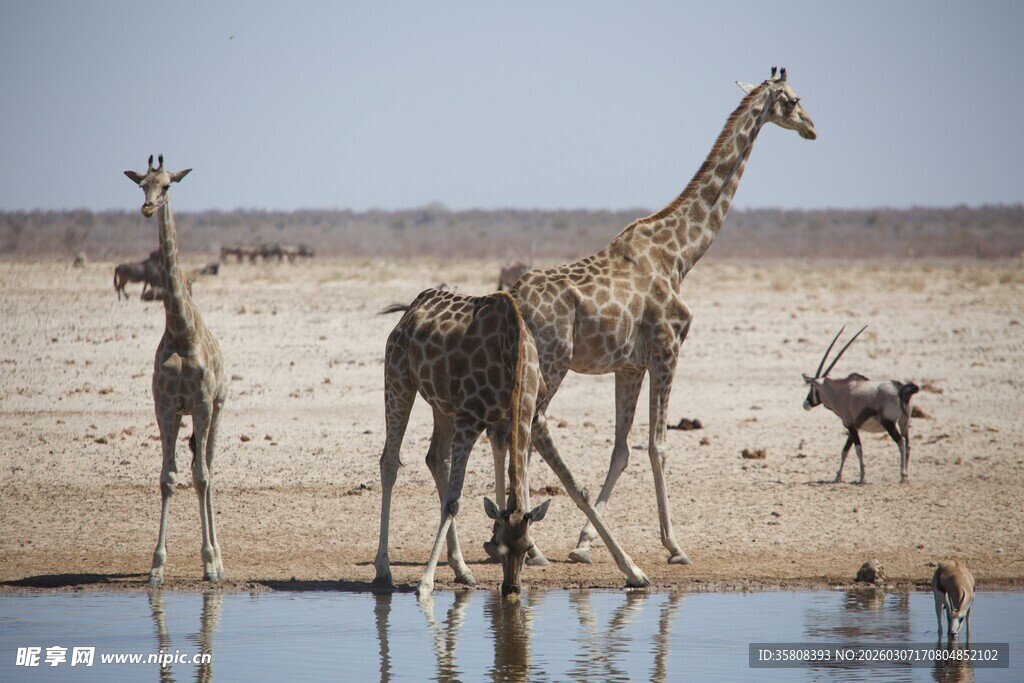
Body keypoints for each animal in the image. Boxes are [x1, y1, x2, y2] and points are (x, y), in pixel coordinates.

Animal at [802, 326, 919, 484]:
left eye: (812, 388)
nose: (805, 404)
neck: (841, 392)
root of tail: (900, 389)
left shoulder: (850, 425)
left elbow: (858, 449)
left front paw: (862, 477)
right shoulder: (855, 426)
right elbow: (845, 450)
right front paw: (837, 477)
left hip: (889, 423)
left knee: (900, 443)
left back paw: (903, 475)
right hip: (904, 422)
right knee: (908, 444)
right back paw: (905, 477)